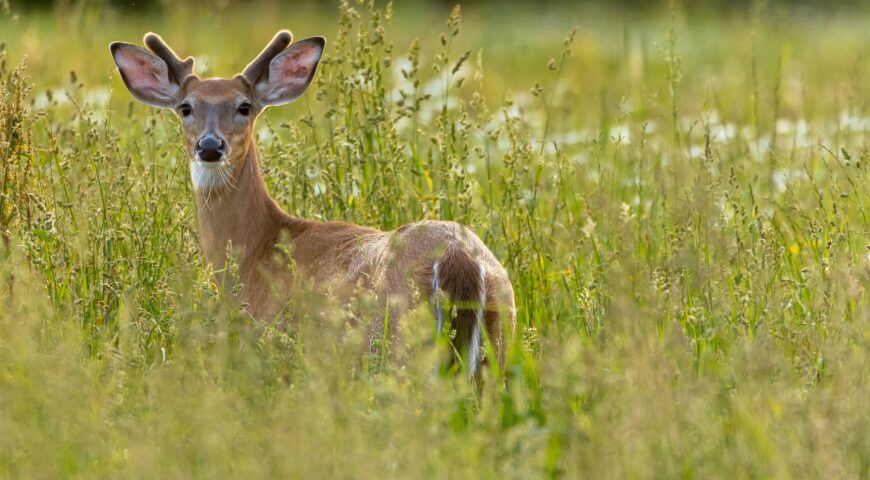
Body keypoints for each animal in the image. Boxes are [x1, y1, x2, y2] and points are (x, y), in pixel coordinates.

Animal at [109, 31, 515, 379]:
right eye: (185, 107)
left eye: (244, 106)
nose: (210, 146)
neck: (257, 251)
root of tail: (457, 257)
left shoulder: (270, 339)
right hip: (497, 340)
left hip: (396, 345)